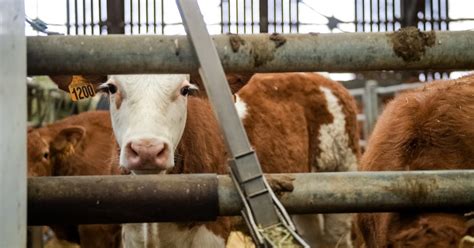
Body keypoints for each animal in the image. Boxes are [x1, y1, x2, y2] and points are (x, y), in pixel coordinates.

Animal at [51, 72, 360, 247]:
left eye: (185, 89)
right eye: (111, 88)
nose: (148, 149)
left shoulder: (212, 230)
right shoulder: (130, 233)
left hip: (339, 185)